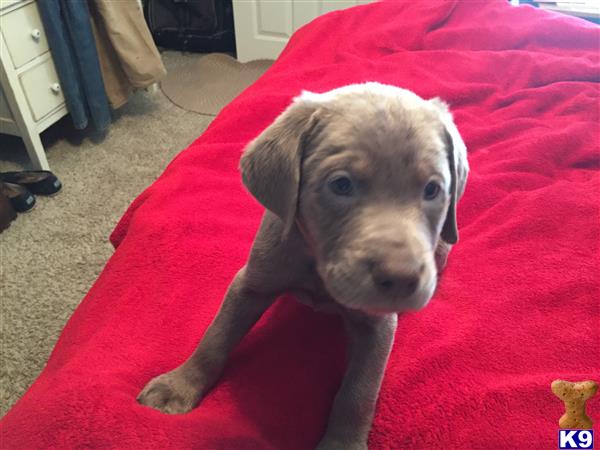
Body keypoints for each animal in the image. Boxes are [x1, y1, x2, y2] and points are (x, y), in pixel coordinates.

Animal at [137, 82, 468, 448]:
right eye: (341, 185)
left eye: (432, 189)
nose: (400, 280)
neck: (318, 266)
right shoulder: (251, 282)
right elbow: (217, 335)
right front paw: (179, 385)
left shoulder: (377, 325)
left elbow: (359, 391)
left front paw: (342, 444)